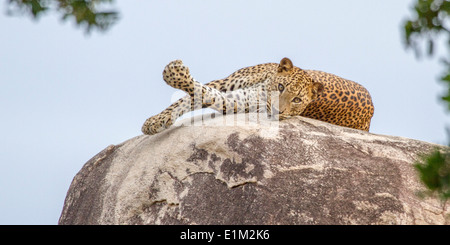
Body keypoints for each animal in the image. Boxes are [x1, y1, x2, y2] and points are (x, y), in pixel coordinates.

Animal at [142, 57, 374, 134]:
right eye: (280, 87)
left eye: (297, 100)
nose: (278, 111)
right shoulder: (229, 83)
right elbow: (186, 98)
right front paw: (156, 121)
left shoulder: (236, 101)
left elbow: (203, 93)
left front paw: (174, 73)